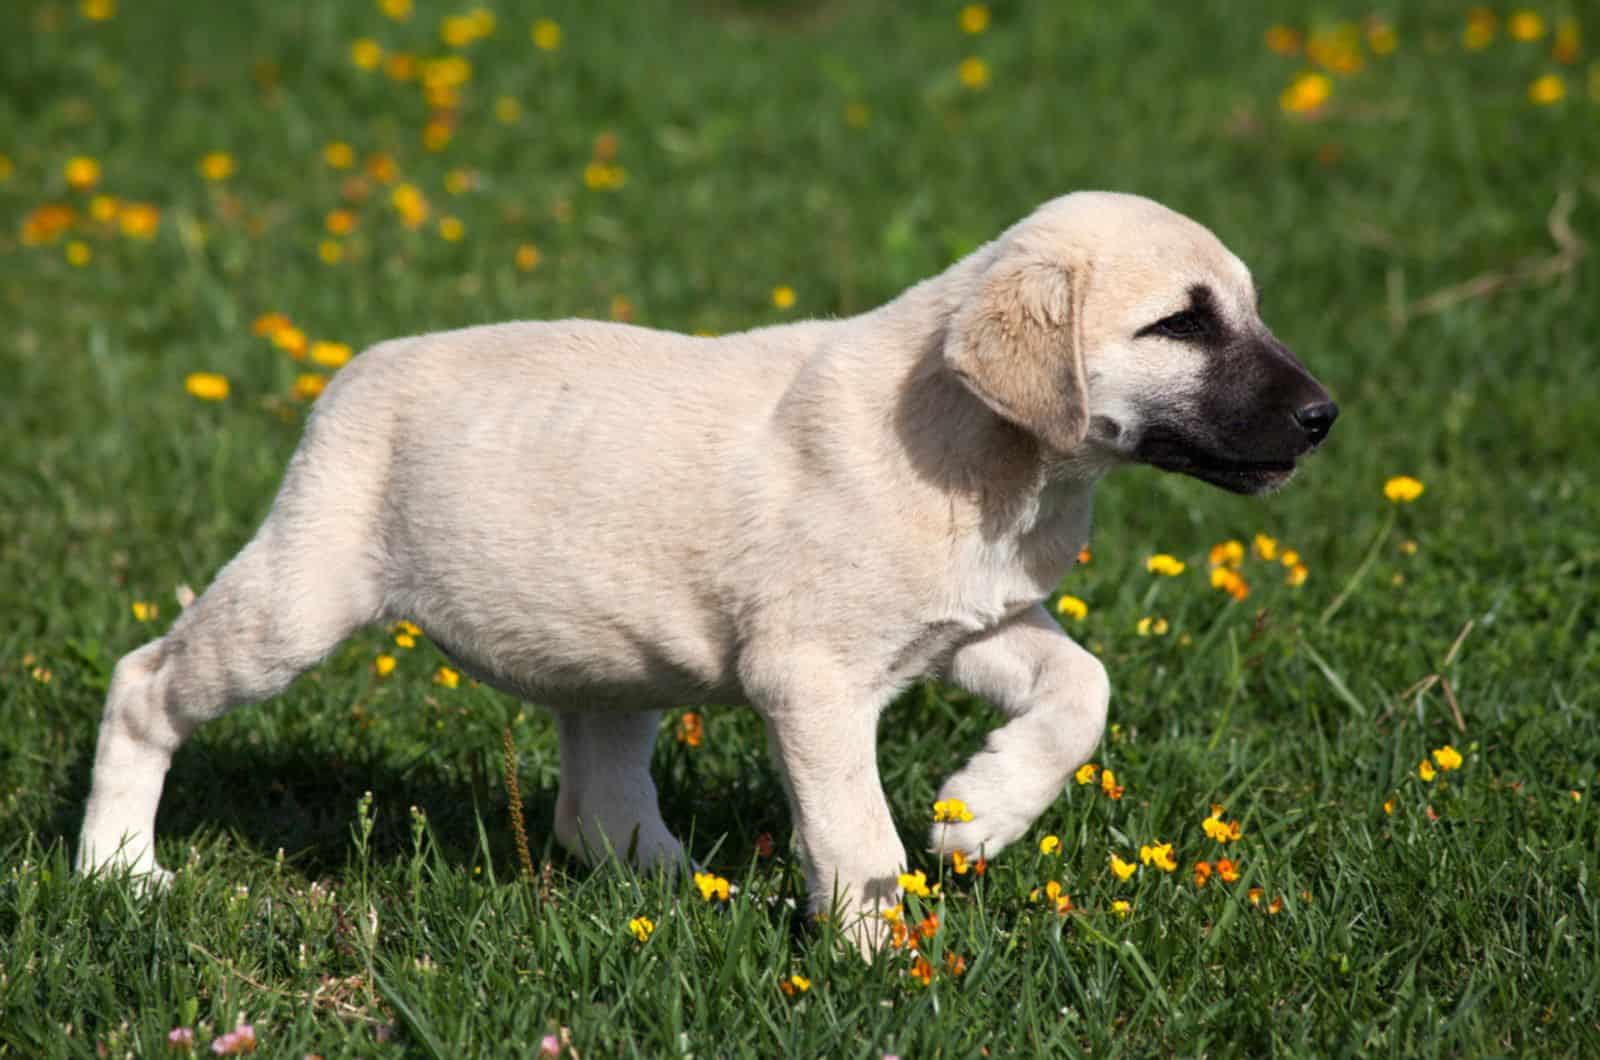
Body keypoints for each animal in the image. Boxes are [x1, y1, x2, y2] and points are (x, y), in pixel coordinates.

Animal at [75, 191, 1331, 947]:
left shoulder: (969, 626)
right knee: (145, 685)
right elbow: (857, 838)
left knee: (595, 806)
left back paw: (686, 892)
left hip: (606, 658)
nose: (1324, 417)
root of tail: (357, 368)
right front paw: (885, 958)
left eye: (1246, 310)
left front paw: (980, 813)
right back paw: (117, 868)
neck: (987, 450)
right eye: (1181, 324)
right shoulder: (811, 679)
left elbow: (1082, 691)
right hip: (298, 596)